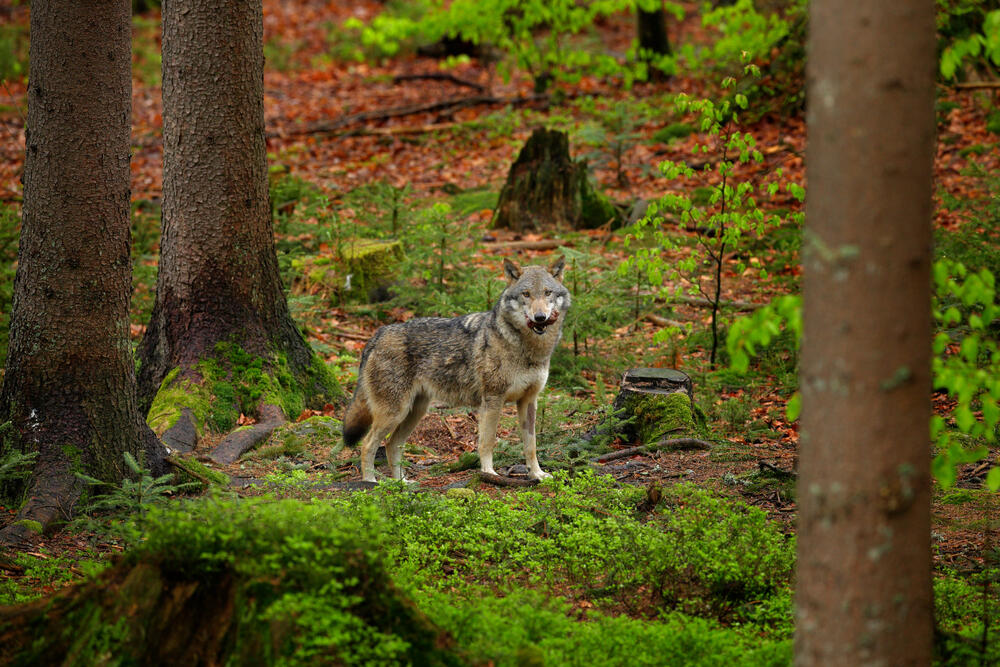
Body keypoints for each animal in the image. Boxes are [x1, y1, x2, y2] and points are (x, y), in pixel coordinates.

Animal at [344, 256, 572, 480]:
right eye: (526, 294)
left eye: (547, 293)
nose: (540, 317)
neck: (529, 349)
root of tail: (378, 334)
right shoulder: (492, 399)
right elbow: (487, 442)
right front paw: (488, 473)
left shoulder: (529, 400)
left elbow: (531, 445)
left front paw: (537, 474)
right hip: (394, 413)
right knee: (367, 445)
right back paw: (371, 483)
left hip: (414, 412)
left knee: (392, 445)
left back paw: (403, 484)